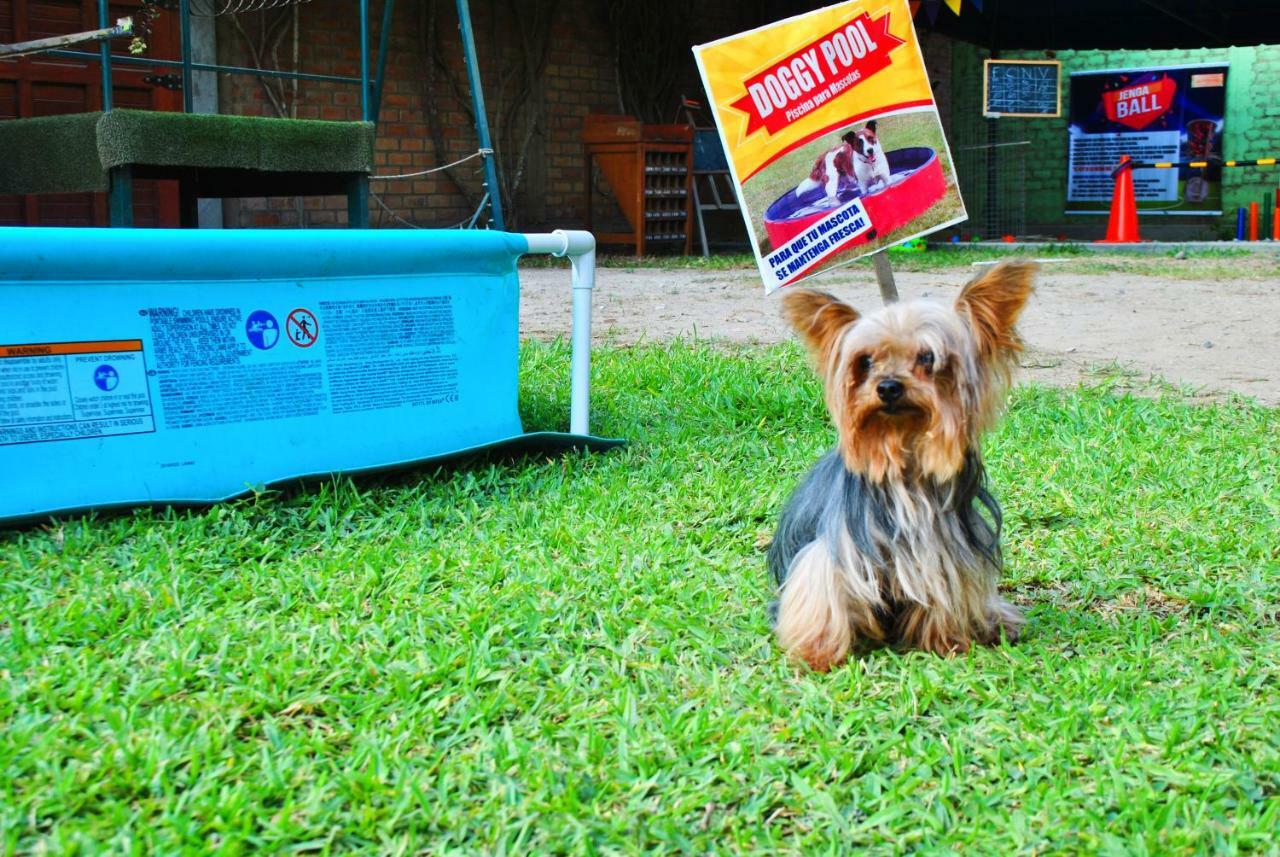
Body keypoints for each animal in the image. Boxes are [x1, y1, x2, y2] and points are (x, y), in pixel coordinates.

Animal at [762, 262, 1034, 670]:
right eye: (865, 361)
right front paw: (817, 653)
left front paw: (947, 641)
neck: (904, 457)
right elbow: (822, 593)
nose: (888, 386)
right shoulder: (837, 550)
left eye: (927, 358)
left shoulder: (946, 550)